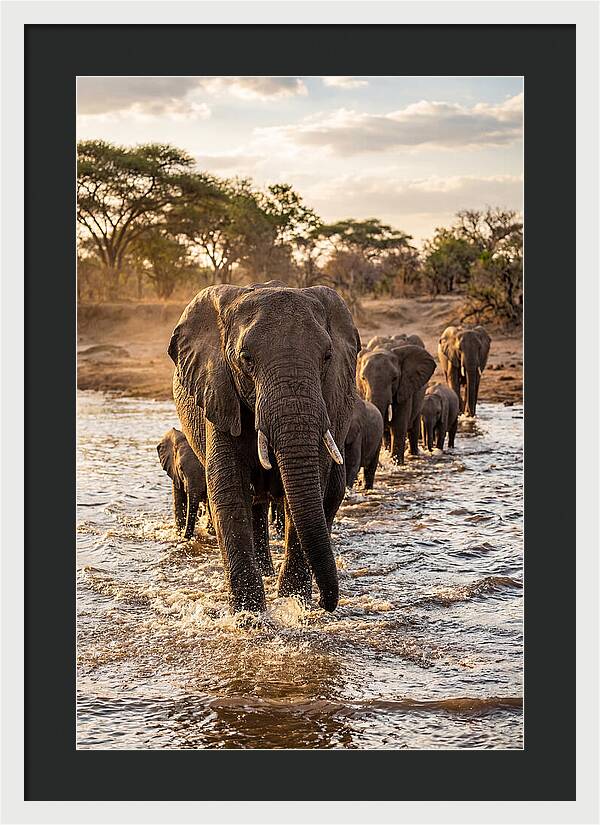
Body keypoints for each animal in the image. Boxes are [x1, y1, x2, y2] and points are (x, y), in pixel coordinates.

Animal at [168, 281, 360, 614]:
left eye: (327, 356)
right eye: (246, 359)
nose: (327, 603)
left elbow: (311, 488)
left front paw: (294, 604)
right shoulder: (219, 392)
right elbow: (229, 490)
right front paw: (250, 617)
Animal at [357, 335, 435, 465]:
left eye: (394, 378)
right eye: (363, 378)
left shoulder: (405, 386)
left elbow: (398, 427)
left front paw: (397, 464)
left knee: (413, 426)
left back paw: (414, 455)